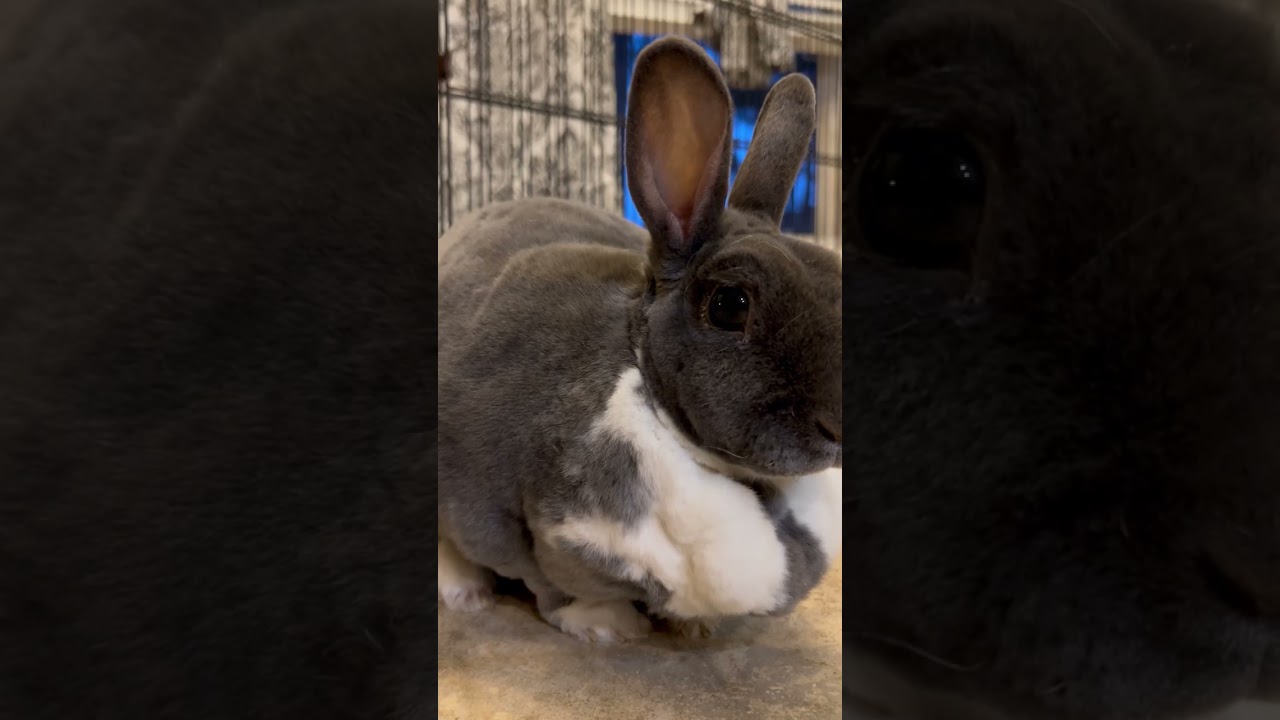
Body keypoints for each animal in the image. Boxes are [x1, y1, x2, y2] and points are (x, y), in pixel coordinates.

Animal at [436, 36, 842, 643]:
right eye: (730, 305)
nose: (840, 423)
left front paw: (694, 629)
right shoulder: (519, 522)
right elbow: (551, 586)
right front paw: (606, 626)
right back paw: (465, 592)